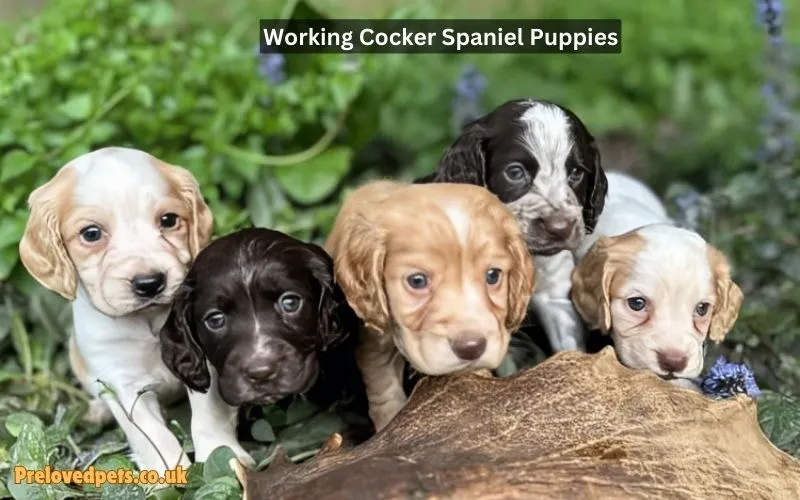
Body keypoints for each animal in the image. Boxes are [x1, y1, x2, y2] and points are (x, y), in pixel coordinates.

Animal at [18, 147, 252, 472]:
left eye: (169, 220)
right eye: (91, 234)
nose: (149, 283)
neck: (149, 322)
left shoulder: (202, 359)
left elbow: (209, 415)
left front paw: (224, 456)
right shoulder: (123, 384)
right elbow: (152, 435)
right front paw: (169, 474)